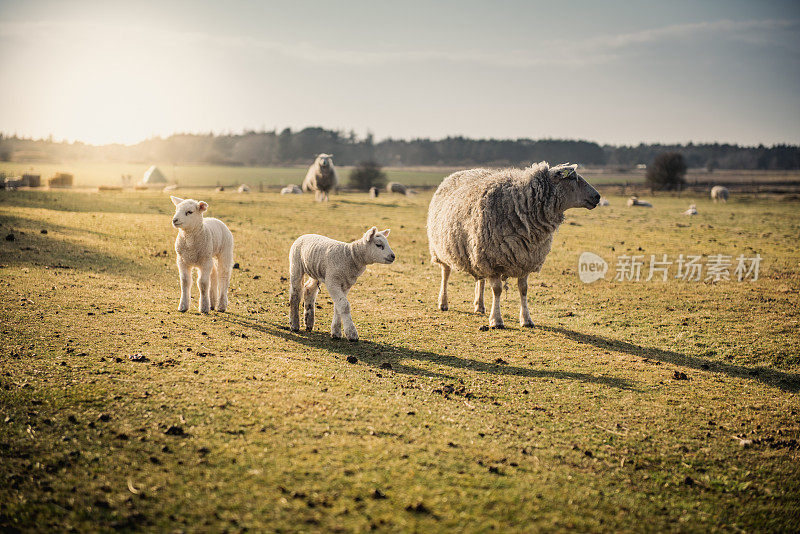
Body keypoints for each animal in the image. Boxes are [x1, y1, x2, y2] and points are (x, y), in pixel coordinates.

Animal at [428, 162, 596, 330]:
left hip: (476, 250)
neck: (521, 204)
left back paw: (480, 305)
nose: (597, 196)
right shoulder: (494, 260)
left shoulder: (525, 258)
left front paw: (526, 319)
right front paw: (496, 320)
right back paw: (443, 303)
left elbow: (523, 289)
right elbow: (497, 290)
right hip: (442, 249)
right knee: (445, 273)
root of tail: (456, 174)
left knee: (480, 279)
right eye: (572, 178)